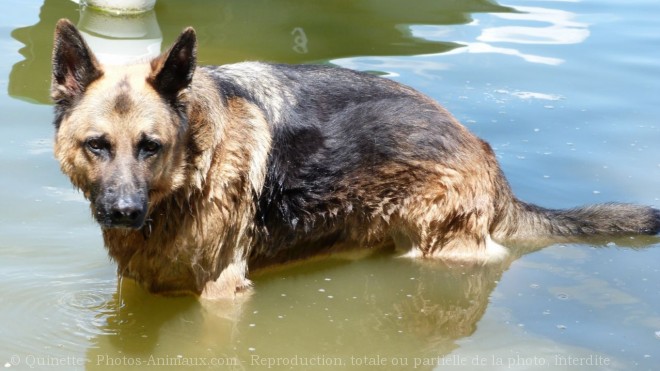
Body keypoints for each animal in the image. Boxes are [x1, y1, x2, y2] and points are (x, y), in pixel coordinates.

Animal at [50, 19, 660, 300]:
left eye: (150, 146)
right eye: (97, 145)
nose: (124, 213)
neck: (190, 171)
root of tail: (484, 151)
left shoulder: (223, 291)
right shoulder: (139, 285)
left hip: (441, 251)